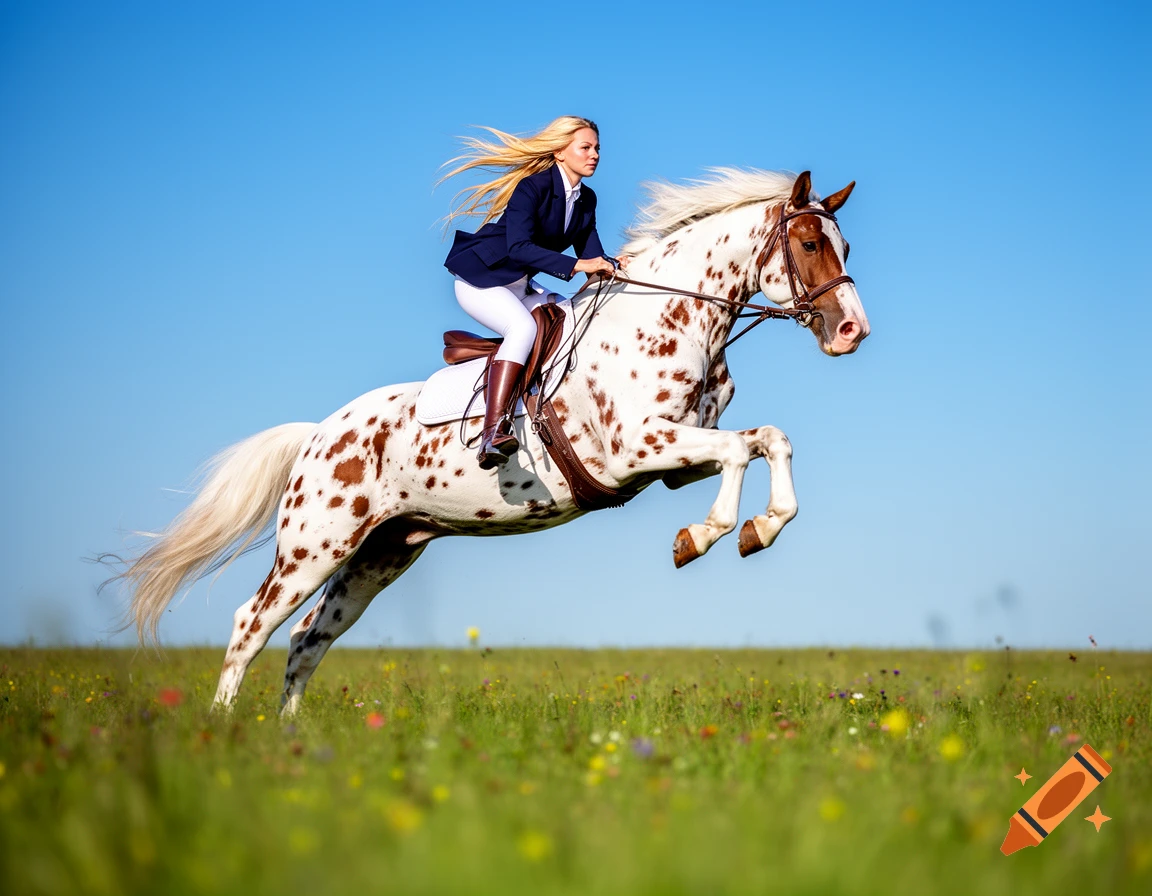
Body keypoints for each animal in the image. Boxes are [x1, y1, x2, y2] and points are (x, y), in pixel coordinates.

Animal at [116, 168, 869, 714]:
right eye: (809, 245)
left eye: (845, 248)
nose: (851, 332)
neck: (675, 317)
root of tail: (318, 436)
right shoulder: (641, 447)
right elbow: (743, 450)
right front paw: (706, 536)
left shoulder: (678, 456)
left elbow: (767, 439)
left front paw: (759, 529)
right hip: (314, 545)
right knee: (252, 624)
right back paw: (223, 733)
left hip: (380, 556)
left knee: (306, 642)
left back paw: (292, 744)